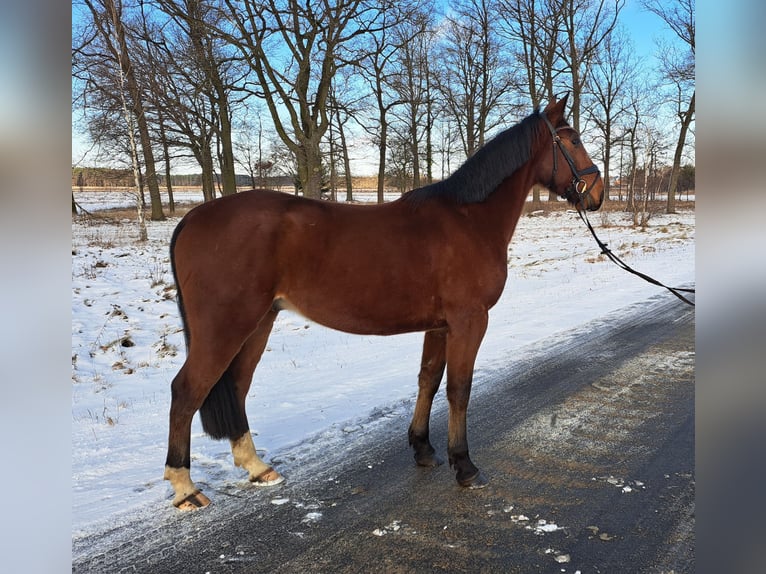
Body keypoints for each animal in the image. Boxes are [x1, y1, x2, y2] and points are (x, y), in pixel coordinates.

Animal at [164, 95, 604, 510]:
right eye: (574, 140)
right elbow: (458, 389)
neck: (469, 219)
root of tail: (192, 219)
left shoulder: (439, 326)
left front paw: (423, 448)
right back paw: (186, 489)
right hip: (225, 327)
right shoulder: (469, 321)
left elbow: (429, 379)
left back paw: (257, 468)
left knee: (237, 387)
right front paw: (464, 465)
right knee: (186, 390)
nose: (597, 193)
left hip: (258, 324)